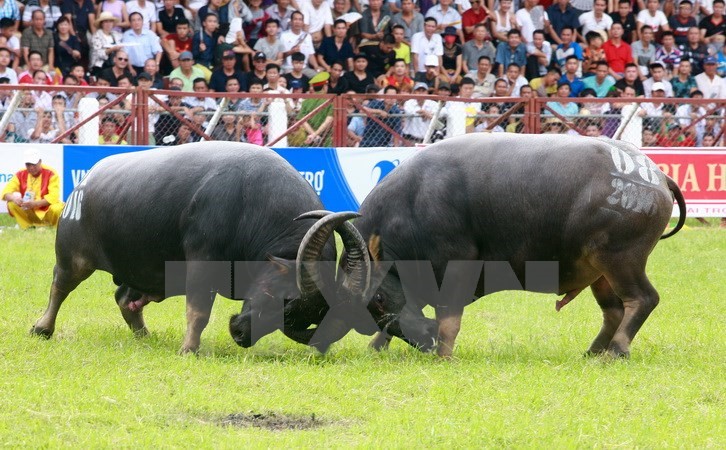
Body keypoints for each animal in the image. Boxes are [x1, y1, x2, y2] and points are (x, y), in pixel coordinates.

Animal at [31, 143, 370, 352]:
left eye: (302, 319)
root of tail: (84, 183)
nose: (240, 334)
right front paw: (189, 348)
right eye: (285, 299)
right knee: (60, 286)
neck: (251, 205)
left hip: (148, 274)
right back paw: (42, 328)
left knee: (125, 299)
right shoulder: (202, 263)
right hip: (73, 257)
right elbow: (199, 311)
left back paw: (145, 336)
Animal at [306, 133, 688, 358]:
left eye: (378, 299)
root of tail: (656, 175)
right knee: (614, 311)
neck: (413, 204)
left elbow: (448, 318)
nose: (425, 343)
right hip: (598, 270)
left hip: (620, 259)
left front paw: (444, 355)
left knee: (642, 299)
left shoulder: (458, 266)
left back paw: (616, 351)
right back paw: (593, 352)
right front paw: (377, 346)